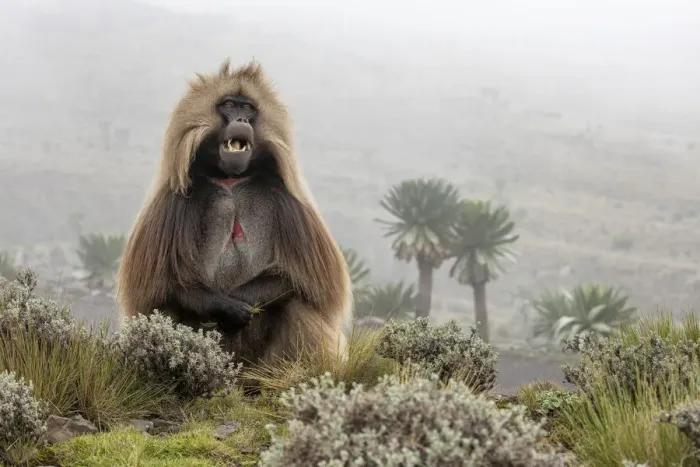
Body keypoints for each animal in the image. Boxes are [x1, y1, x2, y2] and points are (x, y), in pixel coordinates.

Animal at [116, 60, 353, 367]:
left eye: (248, 107)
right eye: (229, 105)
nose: (241, 120)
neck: (230, 179)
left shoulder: (287, 199)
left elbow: (304, 282)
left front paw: (238, 302)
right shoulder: (172, 201)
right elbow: (165, 285)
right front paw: (227, 307)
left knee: (296, 304)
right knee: (165, 309)